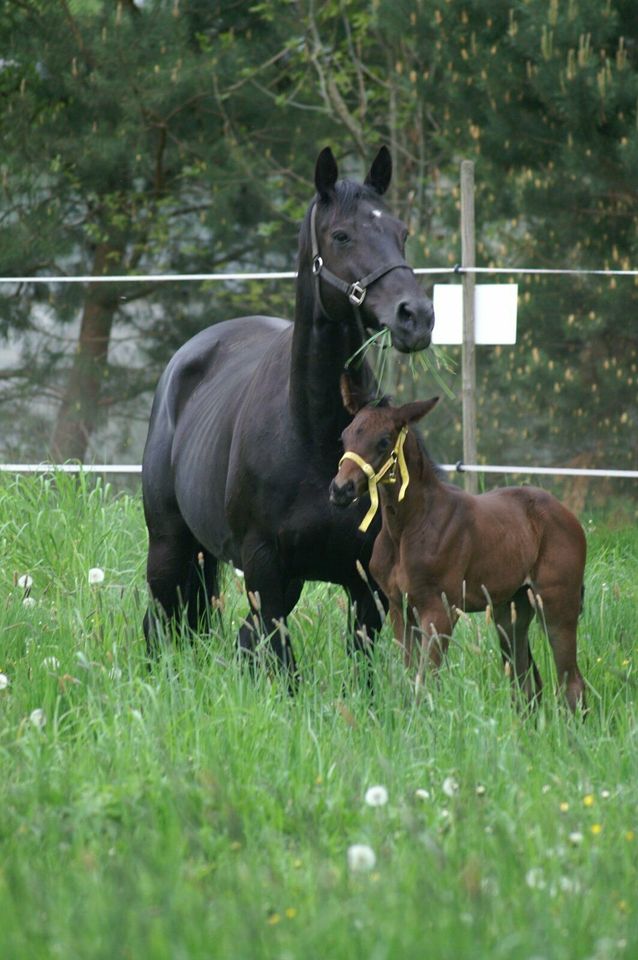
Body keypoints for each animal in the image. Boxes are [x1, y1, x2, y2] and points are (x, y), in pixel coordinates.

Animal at [144, 146, 436, 680]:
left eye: (401, 232)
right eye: (341, 235)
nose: (416, 317)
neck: (313, 433)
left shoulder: (364, 583)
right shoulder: (264, 567)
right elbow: (282, 663)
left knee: (239, 637)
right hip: (170, 546)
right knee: (159, 621)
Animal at [332, 380, 588, 712]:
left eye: (384, 440)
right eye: (345, 435)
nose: (340, 489)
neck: (408, 527)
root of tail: (569, 516)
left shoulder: (440, 609)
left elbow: (425, 681)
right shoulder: (401, 608)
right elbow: (409, 676)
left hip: (557, 604)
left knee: (571, 684)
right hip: (511, 610)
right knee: (527, 684)